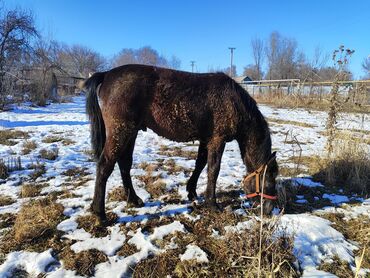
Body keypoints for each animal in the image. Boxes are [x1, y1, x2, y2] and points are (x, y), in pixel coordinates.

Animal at [83, 63, 278, 222]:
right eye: (270, 177)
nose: (270, 210)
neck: (234, 102)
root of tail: (107, 74)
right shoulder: (217, 140)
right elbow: (213, 170)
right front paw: (212, 204)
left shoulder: (206, 139)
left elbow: (200, 164)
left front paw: (192, 191)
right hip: (121, 132)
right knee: (105, 165)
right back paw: (100, 214)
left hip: (131, 133)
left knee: (124, 164)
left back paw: (133, 199)